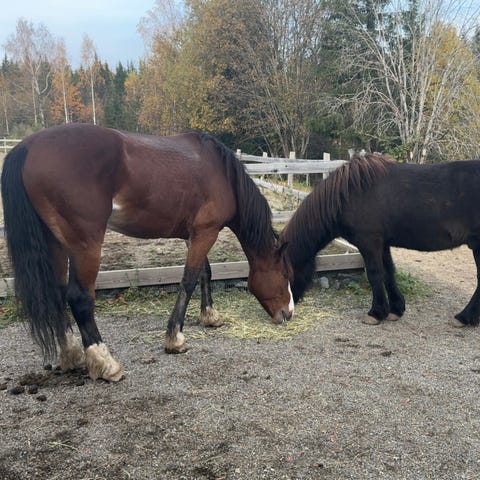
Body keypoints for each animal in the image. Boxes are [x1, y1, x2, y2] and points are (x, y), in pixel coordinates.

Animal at [1, 123, 294, 382]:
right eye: (284, 274)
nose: (288, 313)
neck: (221, 173)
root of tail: (28, 146)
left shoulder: (193, 235)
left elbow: (204, 273)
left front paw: (210, 316)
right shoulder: (206, 232)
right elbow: (188, 280)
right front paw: (174, 339)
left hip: (55, 243)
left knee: (57, 292)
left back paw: (72, 355)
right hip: (85, 245)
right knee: (79, 297)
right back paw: (106, 363)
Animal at [280, 153, 480, 327]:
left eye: (285, 274)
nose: (285, 312)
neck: (348, 194)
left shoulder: (369, 242)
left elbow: (375, 274)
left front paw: (376, 313)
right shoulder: (382, 244)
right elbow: (389, 272)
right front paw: (396, 309)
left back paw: (464, 317)